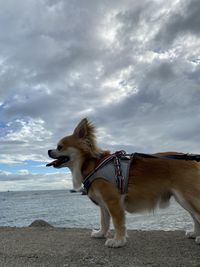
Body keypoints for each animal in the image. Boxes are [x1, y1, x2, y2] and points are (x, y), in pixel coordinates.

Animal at [46, 118, 200, 248]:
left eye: (60, 147)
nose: (48, 150)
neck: (91, 165)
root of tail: (193, 160)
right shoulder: (103, 204)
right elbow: (104, 221)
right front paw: (101, 234)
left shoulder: (113, 202)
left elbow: (117, 222)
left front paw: (118, 241)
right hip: (184, 200)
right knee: (195, 217)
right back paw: (195, 233)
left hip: (187, 197)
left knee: (197, 215)